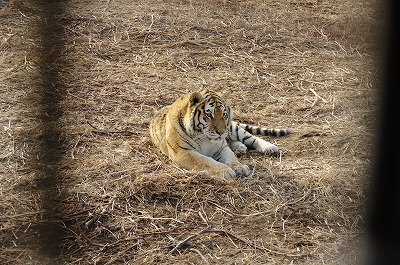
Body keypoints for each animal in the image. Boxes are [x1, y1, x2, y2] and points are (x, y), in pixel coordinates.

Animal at [150, 88, 290, 177]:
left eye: (223, 114)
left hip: (233, 129)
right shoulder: (183, 152)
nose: (221, 132)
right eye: (209, 115)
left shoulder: (221, 146)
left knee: (250, 137)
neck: (204, 137)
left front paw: (239, 167)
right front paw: (225, 171)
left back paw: (268, 147)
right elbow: (205, 161)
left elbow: (231, 156)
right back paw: (240, 148)